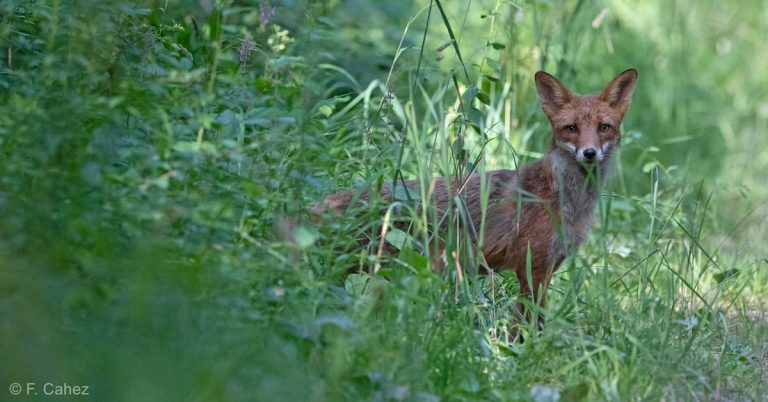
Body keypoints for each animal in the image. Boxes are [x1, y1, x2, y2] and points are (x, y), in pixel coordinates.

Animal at [316, 68, 636, 330]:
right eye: (572, 128)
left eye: (603, 127)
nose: (590, 153)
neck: (566, 200)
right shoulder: (531, 268)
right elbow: (527, 325)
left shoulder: (549, 266)